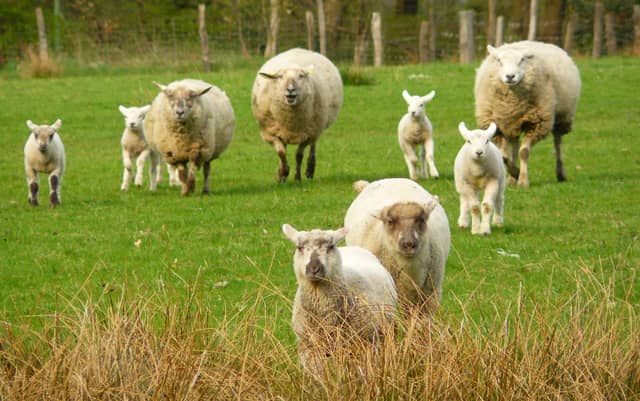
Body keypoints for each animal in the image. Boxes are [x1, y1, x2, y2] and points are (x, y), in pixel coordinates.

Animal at [251, 48, 343, 182]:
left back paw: (310, 170)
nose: (290, 90)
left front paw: (297, 177)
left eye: (301, 76)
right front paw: (283, 172)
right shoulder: (270, 133)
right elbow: (281, 153)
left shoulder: (308, 134)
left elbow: (299, 155)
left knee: (313, 146)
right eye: (280, 77)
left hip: (317, 127)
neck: (290, 121)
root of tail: (300, 49)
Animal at [474, 40, 581, 187]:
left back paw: (560, 173)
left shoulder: (537, 124)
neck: (511, 103)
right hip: (512, 123)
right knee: (514, 146)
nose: (510, 76)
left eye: (522, 60)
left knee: (557, 143)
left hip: (562, 117)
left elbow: (523, 152)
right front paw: (515, 173)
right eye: (499, 60)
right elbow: (504, 156)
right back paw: (511, 179)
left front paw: (523, 180)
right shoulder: (497, 126)